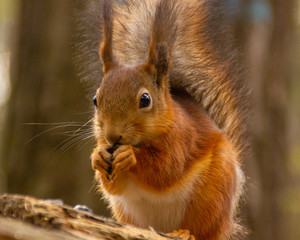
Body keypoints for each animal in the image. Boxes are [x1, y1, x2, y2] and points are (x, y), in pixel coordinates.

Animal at [89, 0, 246, 239]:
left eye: (145, 99)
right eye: (95, 99)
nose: (112, 136)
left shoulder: (182, 137)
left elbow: (165, 170)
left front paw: (130, 155)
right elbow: (113, 186)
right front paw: (97, 156)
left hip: (212, 197)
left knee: (202, 229)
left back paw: (184, 232)